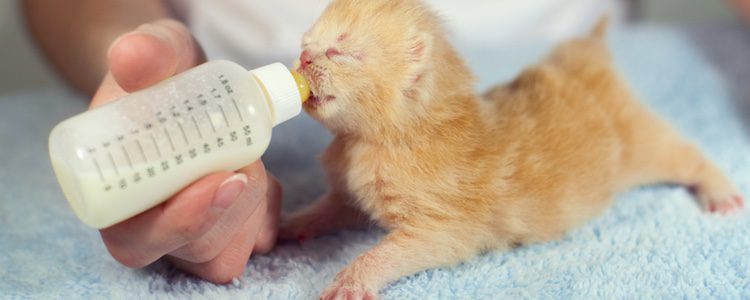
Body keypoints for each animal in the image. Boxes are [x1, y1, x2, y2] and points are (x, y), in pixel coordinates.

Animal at [280, 1, 748, 298]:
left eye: (340, 50)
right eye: (306, 42)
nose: (302, 60)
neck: (372, 140)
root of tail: (590, 52)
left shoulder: (444, 226)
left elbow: (396, 250)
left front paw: (354, 278)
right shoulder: (349, 193)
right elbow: (327, 210)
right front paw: (287, 225)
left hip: (641, 142)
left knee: (687, 154)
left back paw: (720, 191)